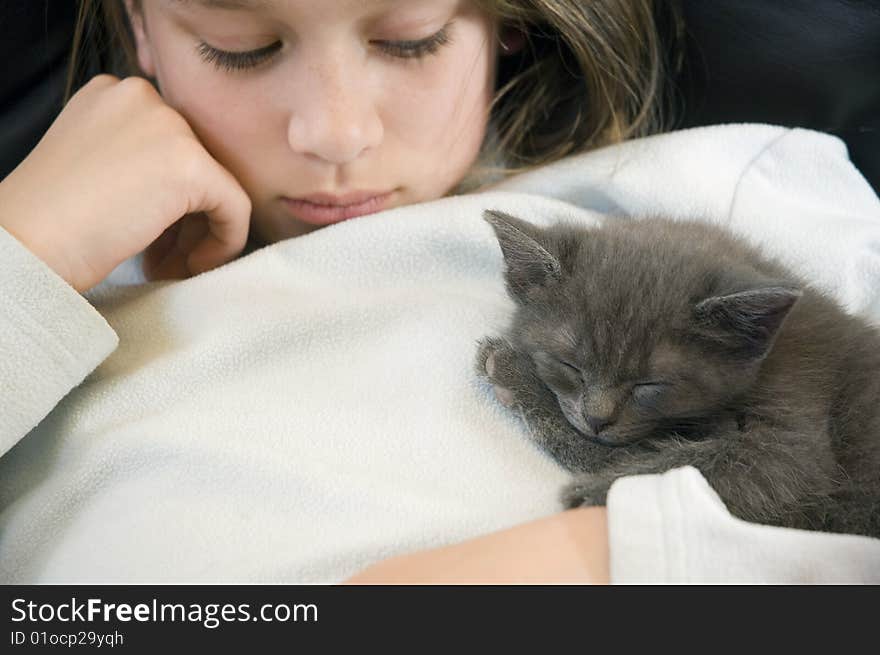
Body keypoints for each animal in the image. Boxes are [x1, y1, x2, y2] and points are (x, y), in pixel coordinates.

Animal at [478, 210, 880, 540]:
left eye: (649, 385)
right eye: (570, 366)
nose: (597, 418)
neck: (769, 357)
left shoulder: (794, 431)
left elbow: (669, 460)